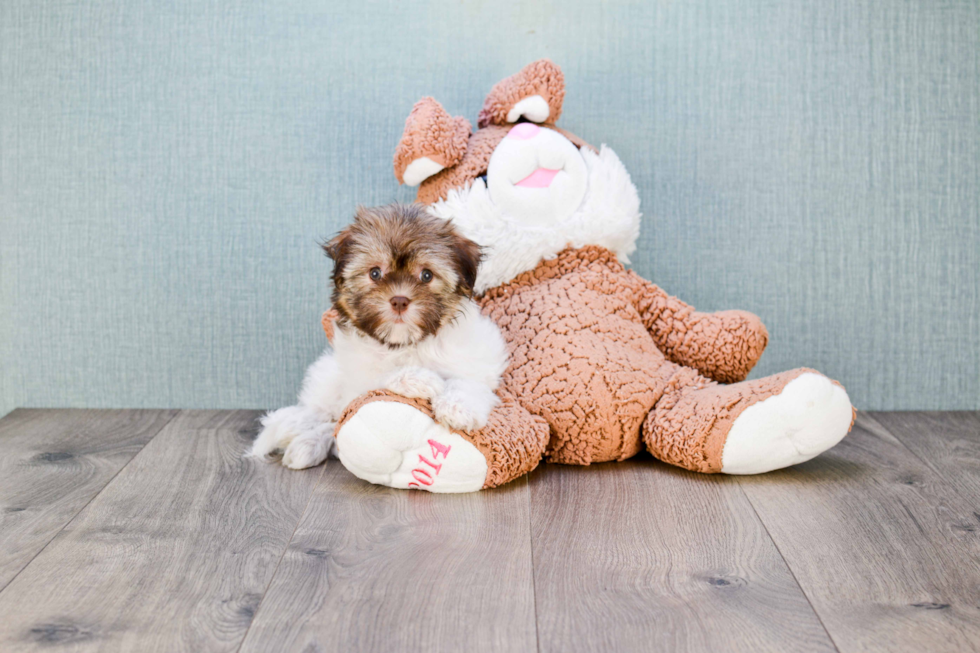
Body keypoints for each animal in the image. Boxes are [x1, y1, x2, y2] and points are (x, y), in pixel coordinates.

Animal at [249, 204, 510, 468]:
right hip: (327, 377)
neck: (404, 344)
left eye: (426, 275)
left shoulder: (478, 358)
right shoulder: (357, 377)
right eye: (375, 273)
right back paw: (304, 439)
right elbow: (379, 377)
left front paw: (458, 407)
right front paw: (419, 379)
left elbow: (469, 382)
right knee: (324, 415)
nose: (400, 300)